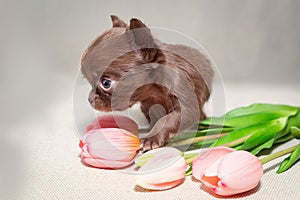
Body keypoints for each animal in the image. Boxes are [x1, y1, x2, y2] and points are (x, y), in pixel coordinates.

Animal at [81, 15, 214, 151]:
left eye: (106, 83)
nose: (89, 99)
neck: (154, 91)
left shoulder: (185, 104)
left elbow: (167, 120)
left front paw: (151, 138)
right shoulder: (148, 104)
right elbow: (156, 117)